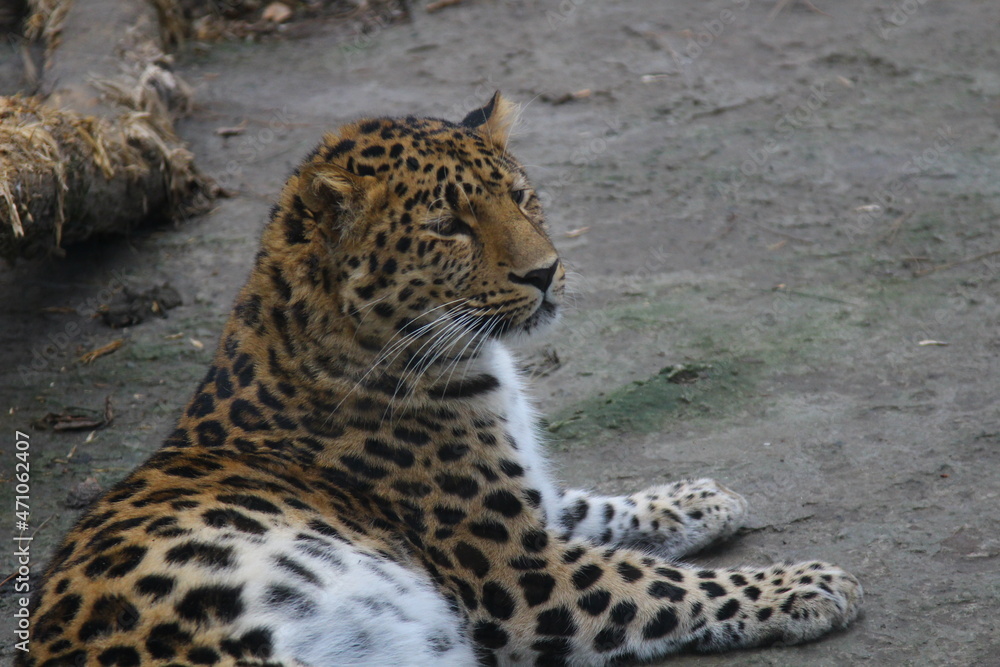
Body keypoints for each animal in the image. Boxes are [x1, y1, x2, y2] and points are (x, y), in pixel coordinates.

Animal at [20, 93, 862, 667]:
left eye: (520, 195)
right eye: (448, 226)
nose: (546, 271)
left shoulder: (530, 513)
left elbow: (600, 506)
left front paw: (701, 497)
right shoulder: (519, 571)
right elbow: (666, 585)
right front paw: (808, 583)